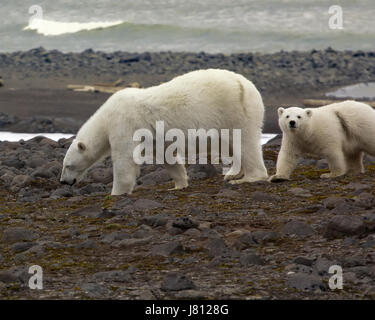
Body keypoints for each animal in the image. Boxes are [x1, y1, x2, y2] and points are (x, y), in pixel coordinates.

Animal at [61, 69, 268, 195]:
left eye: (68, 165)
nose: (63, 182)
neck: (105, 117)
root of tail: (247, 85)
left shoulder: (124, 124)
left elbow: (124, 162)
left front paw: (116, 192)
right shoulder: (153, 138)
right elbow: (167, 156)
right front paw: (178, 184)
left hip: (235, 110)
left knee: (245, 142)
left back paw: (247, 178)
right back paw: (232, 174)